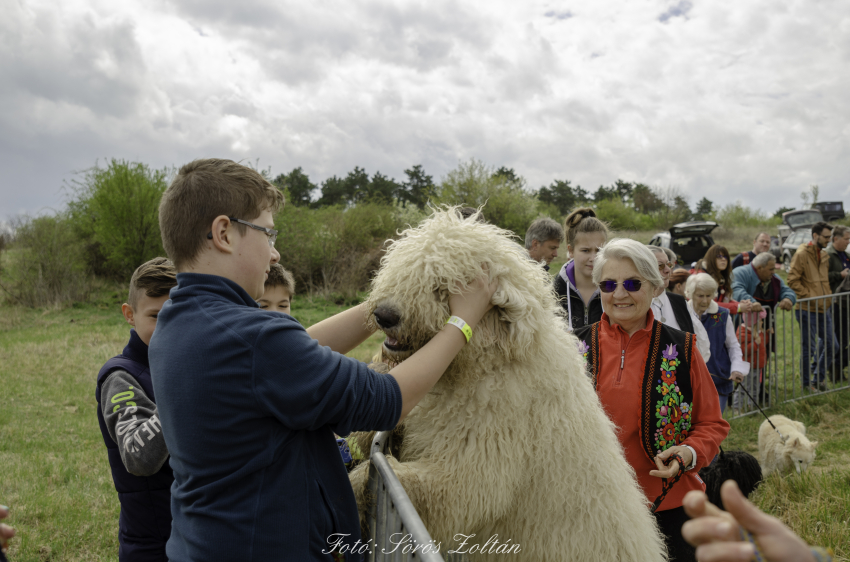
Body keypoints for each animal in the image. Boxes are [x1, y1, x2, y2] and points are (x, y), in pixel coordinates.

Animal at [348, 208, 664, 560]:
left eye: (443, 285)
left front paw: (357, 484)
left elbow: (459, 490)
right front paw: (364, 435)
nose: (384, 315)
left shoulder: (496, 435)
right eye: (404, 268)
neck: (484, 364)